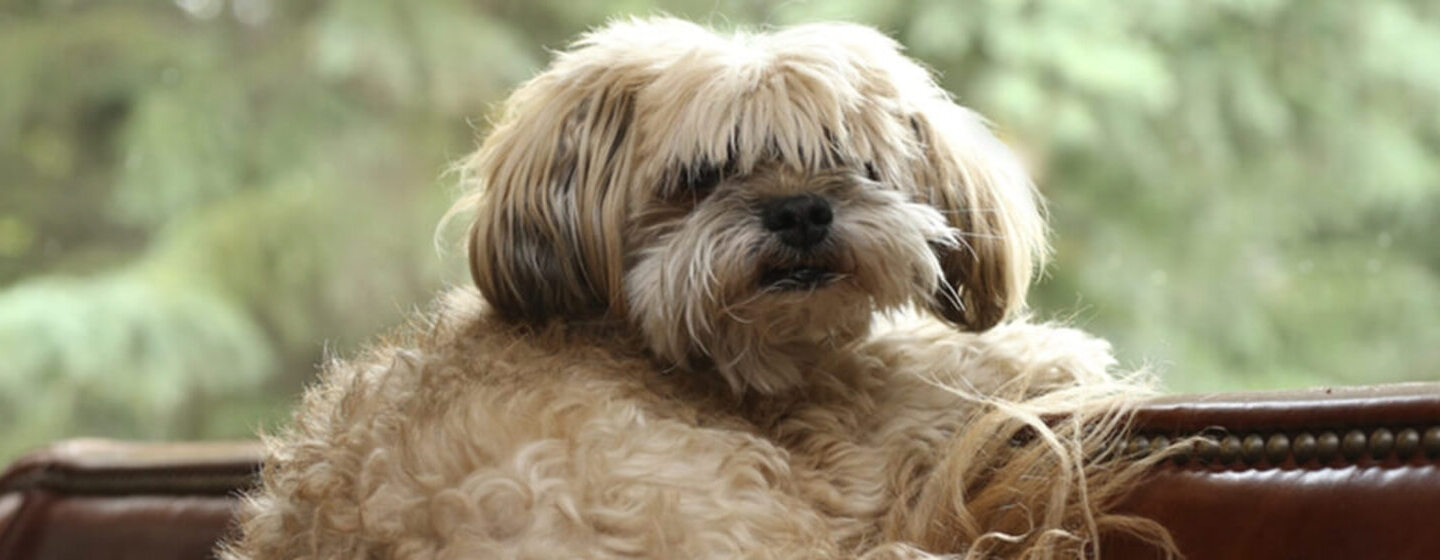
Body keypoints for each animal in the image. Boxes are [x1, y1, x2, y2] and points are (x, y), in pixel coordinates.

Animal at [218, 17, 1175, 558]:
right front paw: (1045, 349)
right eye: (704, 173)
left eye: (852, 159)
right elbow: (905, 374)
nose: (801, 209)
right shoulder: (828, 459)